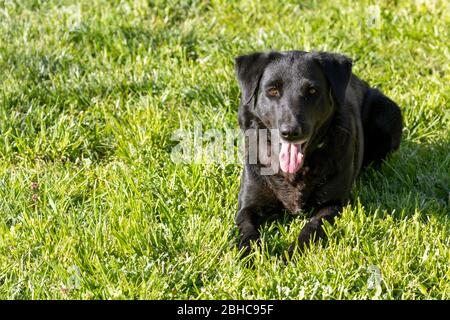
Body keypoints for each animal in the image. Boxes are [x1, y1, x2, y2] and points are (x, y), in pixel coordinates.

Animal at [234, 50, 402, 258]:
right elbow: (247, 231)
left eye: (312, 91)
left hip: (387, 111)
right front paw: (251, 256)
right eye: (272, 90)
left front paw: (293, 253)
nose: (291, 132)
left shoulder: (333, 204)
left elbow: (311, 227)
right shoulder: (247, 206)